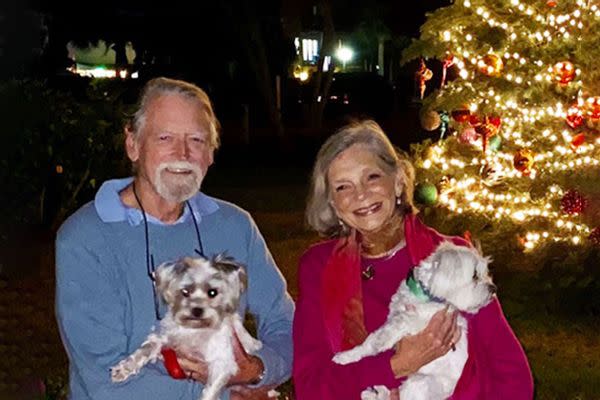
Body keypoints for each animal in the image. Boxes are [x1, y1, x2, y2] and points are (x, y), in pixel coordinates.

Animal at [111, 255, 262, 400]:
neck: (194, 329)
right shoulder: (163, 339)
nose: (197, 310)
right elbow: (145, 350)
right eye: (185, 291)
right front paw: (124, 368)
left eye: (212, 292)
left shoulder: (222, 364)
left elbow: (210, 392)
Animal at [330, 241, 494, 400]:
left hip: (420, 384)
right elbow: (368, 342)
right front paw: (347, 356)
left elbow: (400, 324)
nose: (494, 288)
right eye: (475, 275)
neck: (424, 295)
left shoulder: (423, 321)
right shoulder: (392, 317)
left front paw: (383, 342)